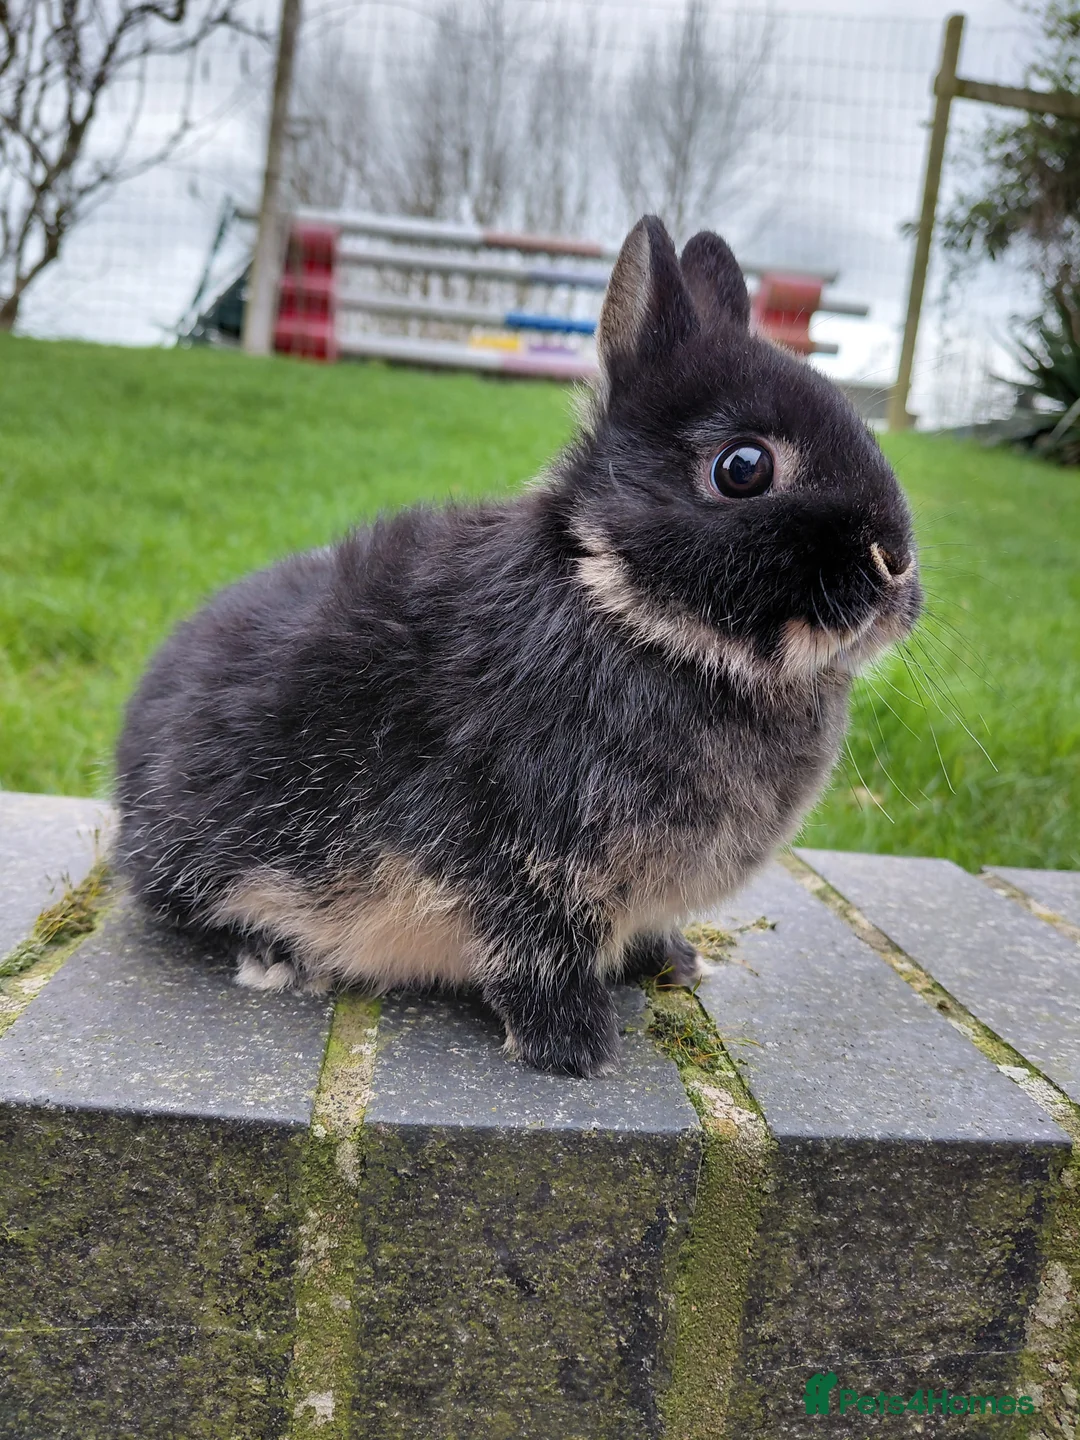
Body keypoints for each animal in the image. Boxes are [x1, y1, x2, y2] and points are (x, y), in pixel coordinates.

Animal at [114, 215, 921, 1078]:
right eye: (743, 468)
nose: (895, 562)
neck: (625, 607)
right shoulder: (514, 855)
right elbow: (535, 950)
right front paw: (574, 1047)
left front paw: (671, 963)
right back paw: (273, 958)